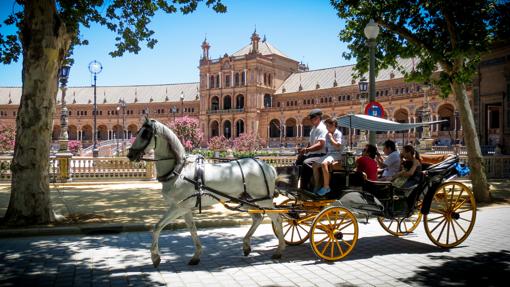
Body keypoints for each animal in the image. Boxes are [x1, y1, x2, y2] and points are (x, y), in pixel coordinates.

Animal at [127, 118, 286, 268]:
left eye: (145, 133)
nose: (130, 154)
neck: (179, 170)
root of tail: (268, 166)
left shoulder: (178, 207)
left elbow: (157, 227)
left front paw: (155, 257)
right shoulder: (185, 209)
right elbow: (192, 229)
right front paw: (196, 255)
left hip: (264, 201)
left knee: (277, 219)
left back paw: (279, 250)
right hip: (247, 200)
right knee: (258, 218)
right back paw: (247, 245)